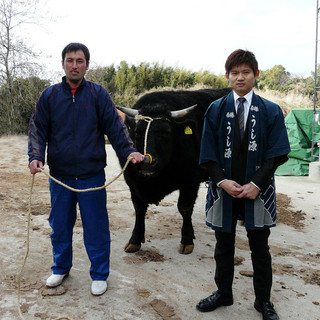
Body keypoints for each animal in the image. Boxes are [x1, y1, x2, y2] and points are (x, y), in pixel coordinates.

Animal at [117, 89, 230, 254]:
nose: (147, 162)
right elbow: (139, 208)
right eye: (137, 132)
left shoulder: (190, 180)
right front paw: (135, 240)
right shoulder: (132, 181)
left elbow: (184, 207)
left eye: (166, 132)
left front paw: (187, 240)